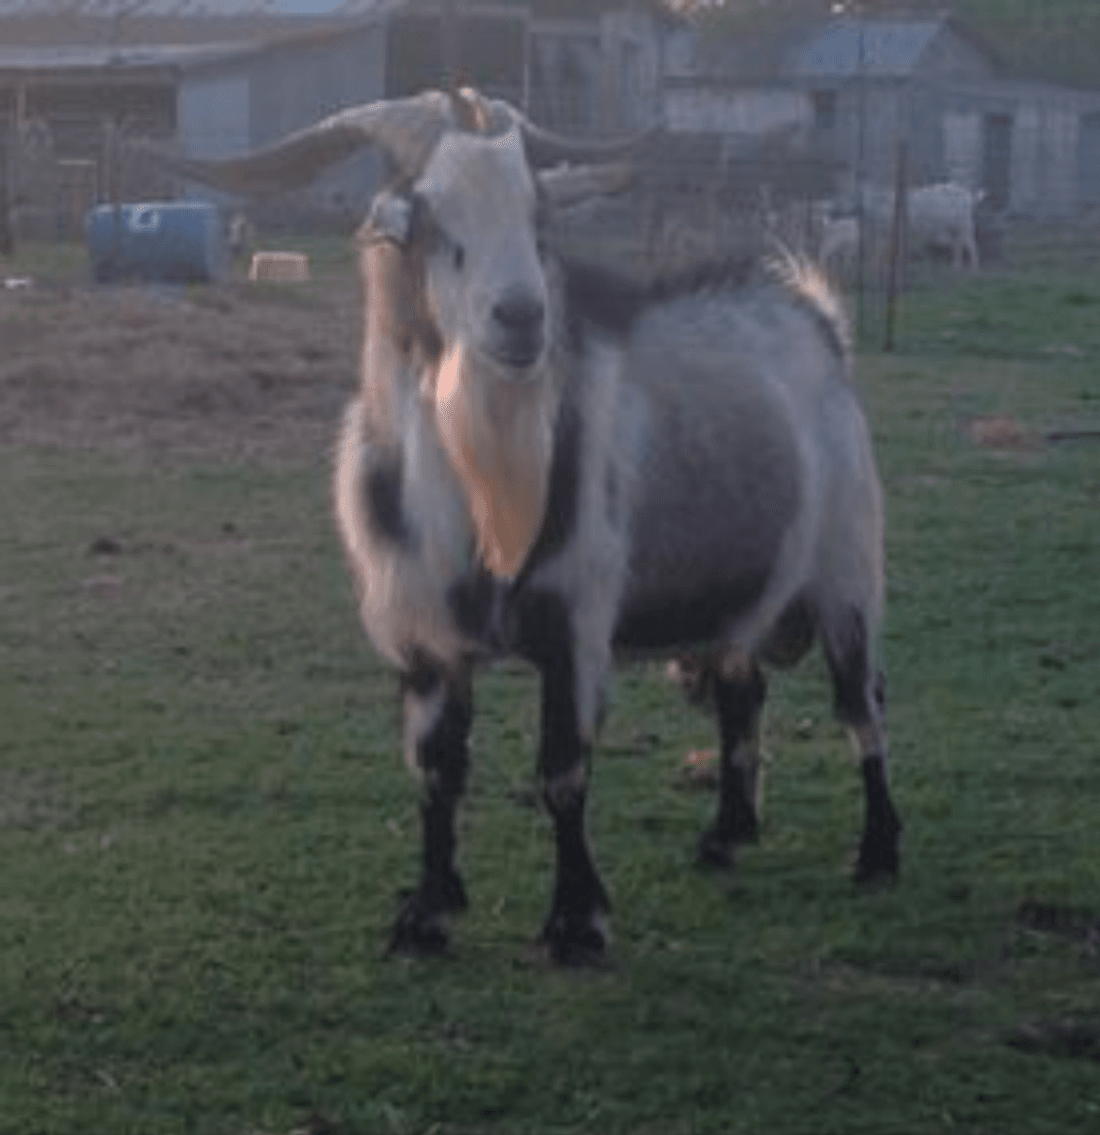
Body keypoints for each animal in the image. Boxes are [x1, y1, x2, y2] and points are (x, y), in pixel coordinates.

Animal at [170, 88, 901, 964]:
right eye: (428, 217)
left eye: (538, 215)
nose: (520, 316)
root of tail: (817, 320)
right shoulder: (422, 641)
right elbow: (435, 770)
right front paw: (427, 914)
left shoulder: (573, 621)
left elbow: (562, 770)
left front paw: (576, 923)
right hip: (743, 597)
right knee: (742, 688)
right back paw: (726, 835)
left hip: (848, 571)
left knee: (860, 703)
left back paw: (877, 853)